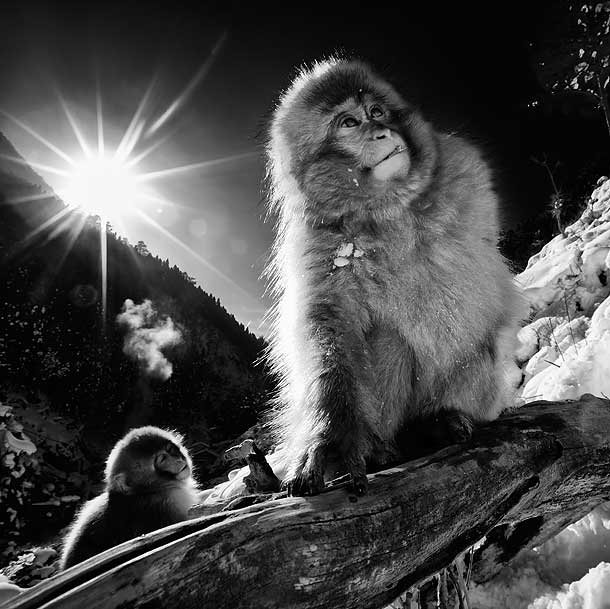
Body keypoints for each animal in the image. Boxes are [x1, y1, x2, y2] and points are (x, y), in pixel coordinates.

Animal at [264, 57, 524, 496]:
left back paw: (440, 421)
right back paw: (385, 447)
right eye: (349, 122)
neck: (389, 207)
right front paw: (330, 438)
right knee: (386, 342)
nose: (381, 131)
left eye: (376, 112)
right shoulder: (314, 240)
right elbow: (331, 324)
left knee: (482, 350)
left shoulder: (466, 168)